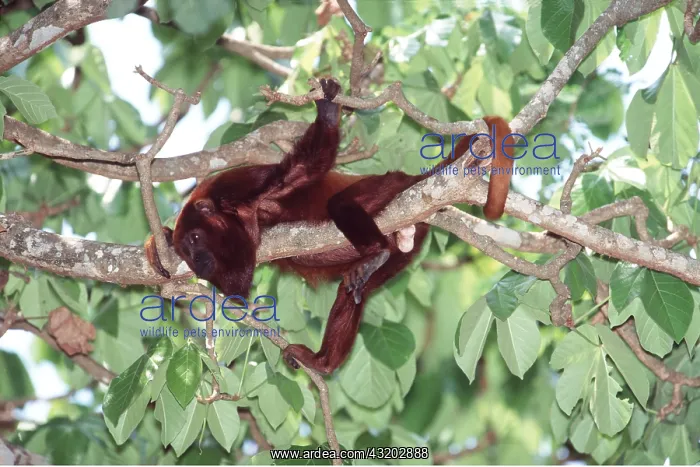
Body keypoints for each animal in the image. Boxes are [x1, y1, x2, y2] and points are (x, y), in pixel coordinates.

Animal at [145, 78, 515, 375]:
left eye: (196, 238)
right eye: (187, 253)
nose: (198, 261)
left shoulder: (236, 184)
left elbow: (305, 168)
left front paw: (326, 112)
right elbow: (238, 285)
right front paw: (160, 241)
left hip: (388, 186)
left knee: (342, 204)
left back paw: (374, 252)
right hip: (402, 251)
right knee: (353, 290)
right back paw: (323, 361)